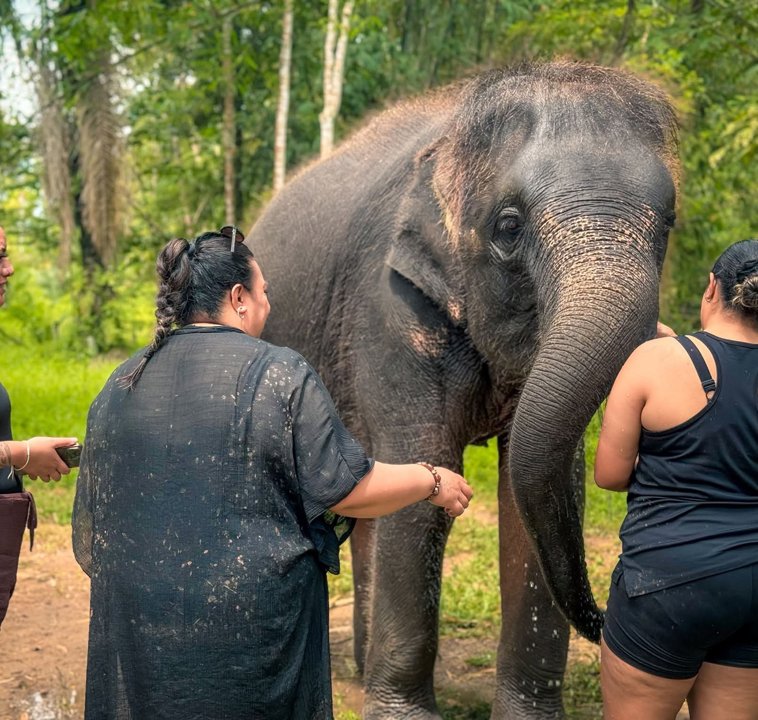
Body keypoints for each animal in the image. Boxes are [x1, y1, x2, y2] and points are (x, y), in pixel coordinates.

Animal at [249, 61, 679, 719]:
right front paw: (403, 716)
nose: (609, 616)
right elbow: (422, 477)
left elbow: (540, 488)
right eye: (509, 226)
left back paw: (361, 669)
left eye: (669, 224)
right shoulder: (391, 309)